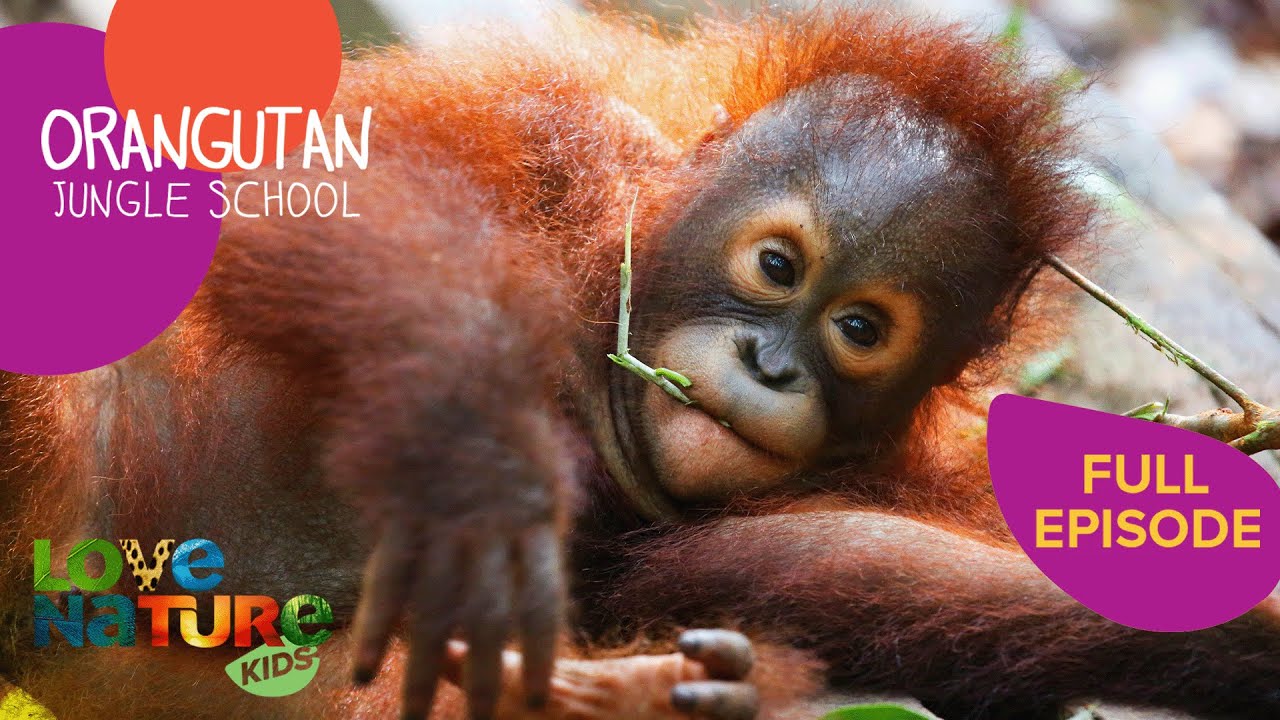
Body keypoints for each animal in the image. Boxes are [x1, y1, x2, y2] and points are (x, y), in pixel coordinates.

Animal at [2, 7, 1278, 720]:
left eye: (859, 330)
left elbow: (842, 563)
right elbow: (306, 184)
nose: (770, 366)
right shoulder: (549, 123)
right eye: (776, 264)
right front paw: (479, 471)